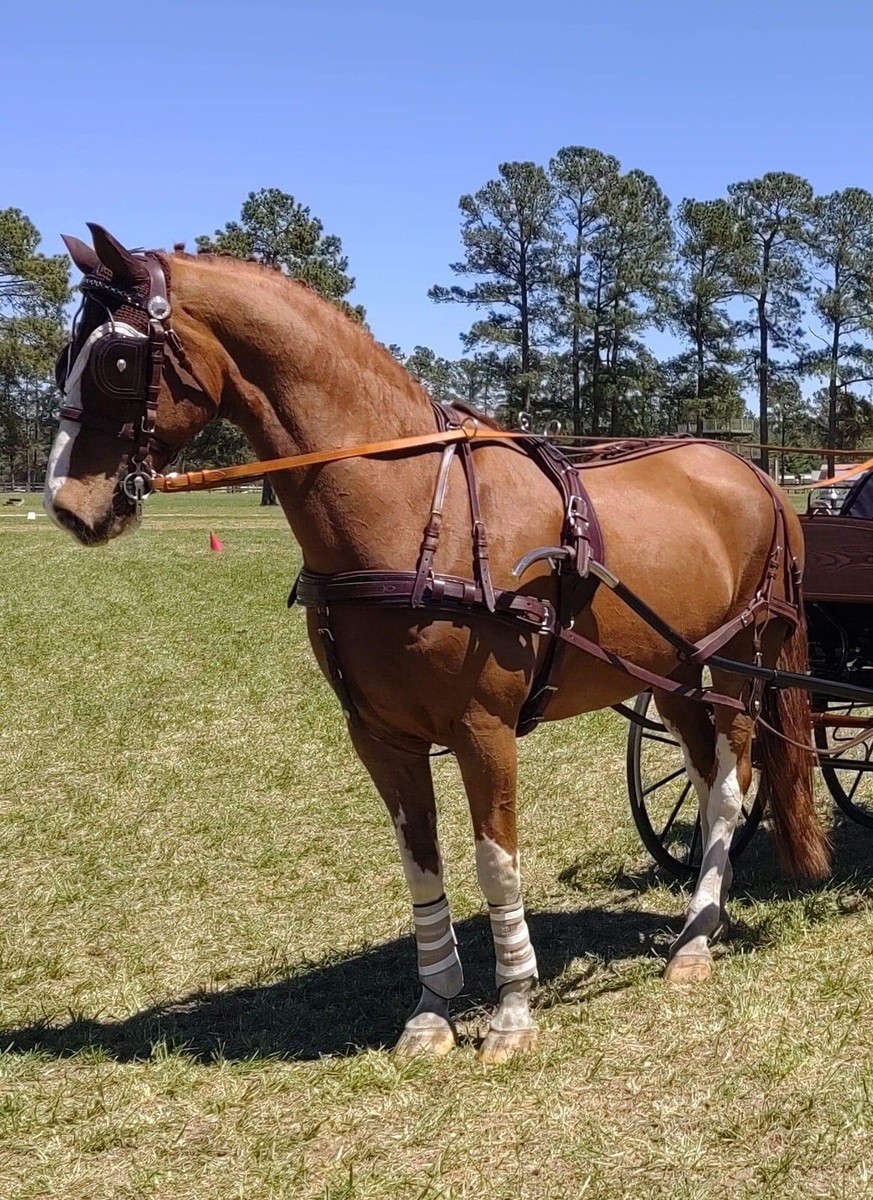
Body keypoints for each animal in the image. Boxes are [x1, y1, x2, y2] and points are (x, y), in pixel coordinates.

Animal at [45, 225, 829, 1064]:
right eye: (65, 356)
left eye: (117, 361)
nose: (66, 505)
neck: (414, 505)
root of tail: (751, 470)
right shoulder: (378, 734)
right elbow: (420, 865)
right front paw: (432, 1007)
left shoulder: (485, 729)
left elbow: (495, 863)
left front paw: (512, 1007)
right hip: (671, 668)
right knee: (707, 768)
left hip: (740, 655)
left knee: (732, 780)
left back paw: (696, 938)